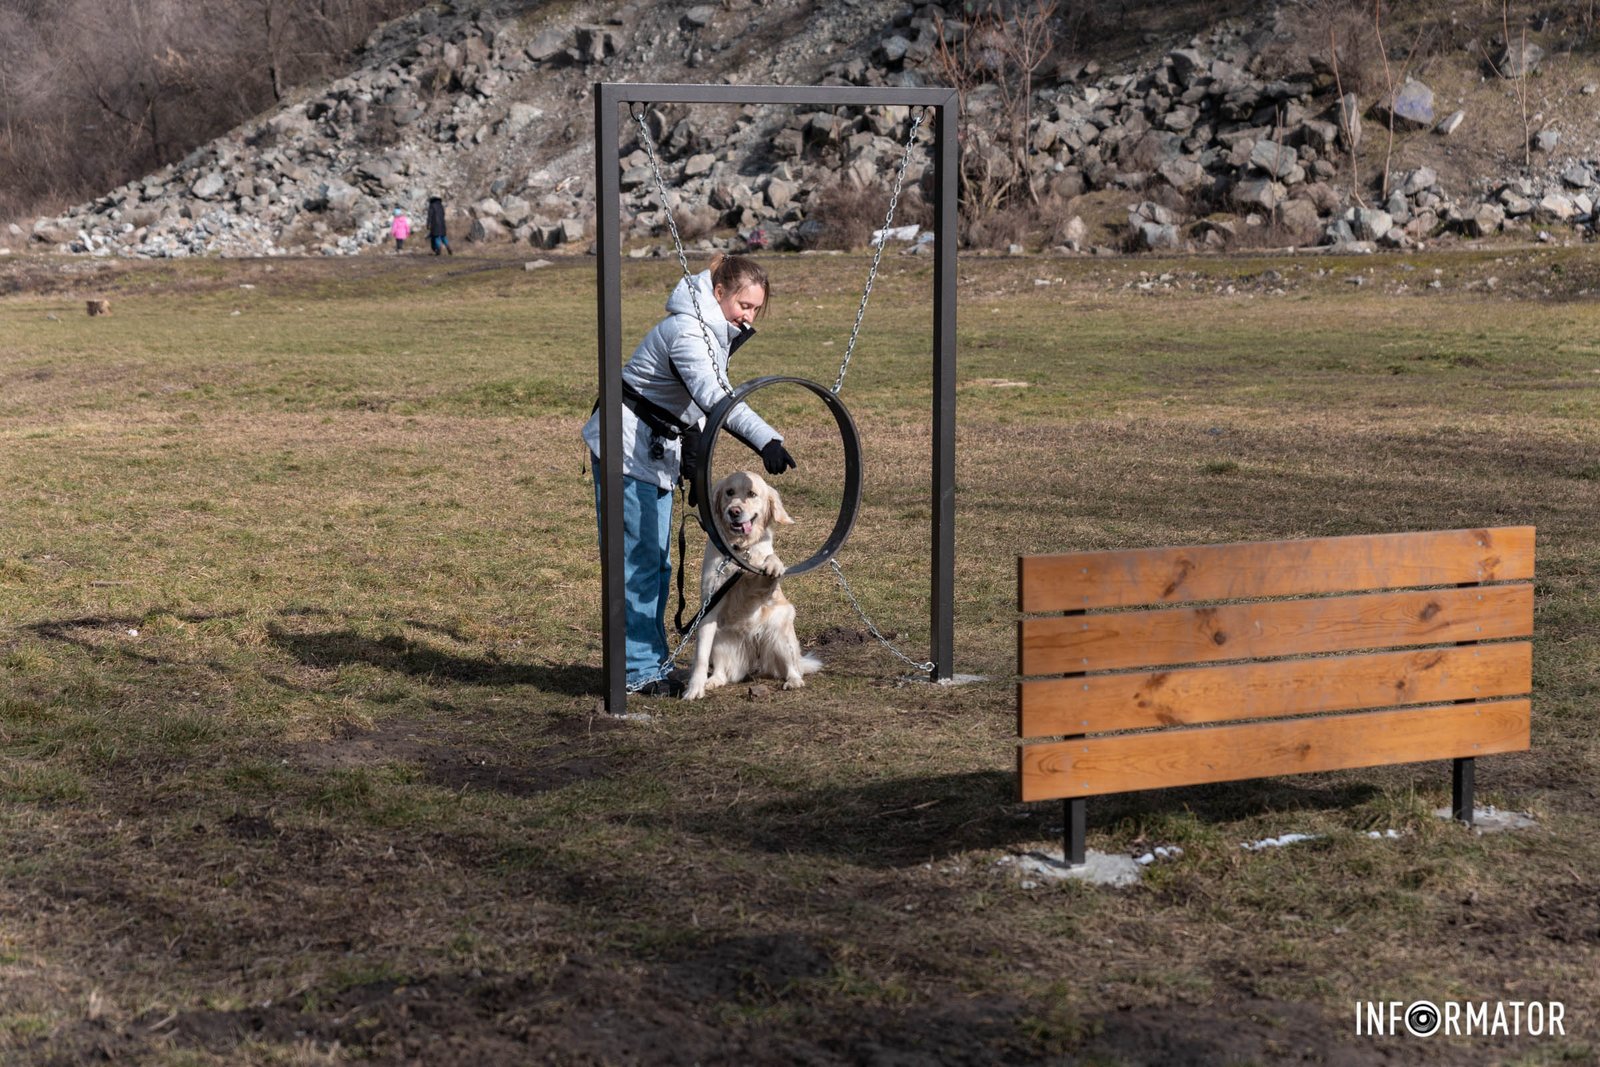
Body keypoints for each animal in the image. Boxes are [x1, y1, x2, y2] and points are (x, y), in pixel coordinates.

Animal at [681, 470, 819, 700]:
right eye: (729, 492)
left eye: (752, 494)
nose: (734, 511)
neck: (739, 549)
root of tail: (755, 657)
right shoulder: (709, 606)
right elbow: (701, 657)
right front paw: (694, 688)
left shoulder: (762, 591)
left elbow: (769, 563)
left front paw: (773, 564)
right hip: (721, 639)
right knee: (721, 671)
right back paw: (712, 681)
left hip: (780, 629)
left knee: (792, 665)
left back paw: (794, 681)